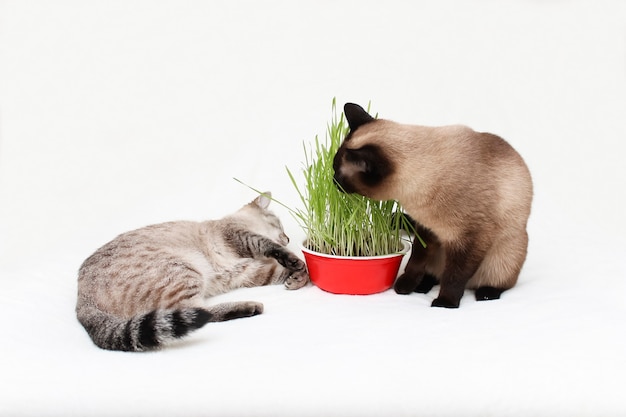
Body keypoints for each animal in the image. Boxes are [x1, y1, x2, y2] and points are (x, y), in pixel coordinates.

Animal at [75, 193, 308, 350]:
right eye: (279, 224)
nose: (288, 238)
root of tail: (82, 299)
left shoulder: (247, 271)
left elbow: (278, 271)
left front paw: (298, 277)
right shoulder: (241, 237)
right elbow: (272, 247)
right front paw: (296, 262)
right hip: (183, 272)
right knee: (199, 312)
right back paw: (250, 307)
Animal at [332, 102, 532, 308]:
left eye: (338, 172)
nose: (333, 181)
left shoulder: (470, 240)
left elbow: (454, 276)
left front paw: (445, 303)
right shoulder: (427, 229)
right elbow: (416, 261)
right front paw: (404, 286)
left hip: (505, 253)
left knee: (495, 282)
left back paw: (485, 293)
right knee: (435, 274)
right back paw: (421, 286)